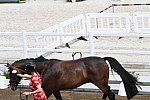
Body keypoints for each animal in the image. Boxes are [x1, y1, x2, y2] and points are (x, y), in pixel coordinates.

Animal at [7, 55, 139, 99]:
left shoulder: (47, 89)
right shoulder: (55, 90)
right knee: (108, 92)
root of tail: (102, 59)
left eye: (13, 73)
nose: (12, 86)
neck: (44, 68)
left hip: (100, 83)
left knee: (110, 94)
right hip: (102, 83)